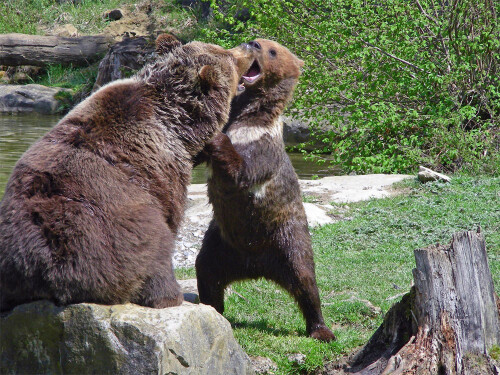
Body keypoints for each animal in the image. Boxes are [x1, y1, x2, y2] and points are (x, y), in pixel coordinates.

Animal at [0, 35, 258, 312]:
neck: (179, 124)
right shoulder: (164, 168)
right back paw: (172, 295)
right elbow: (171, 212)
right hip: (111, 241)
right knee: (155, 253)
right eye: (229, 55)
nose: (249, 45)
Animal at [195, 39, 336, 344]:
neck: (250, 116)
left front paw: (218, 138)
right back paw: (213, 309)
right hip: (222, 242)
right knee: (208, 271)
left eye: (272, 50)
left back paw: (321, 329)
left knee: (305, 279)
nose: (253, 42)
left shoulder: (263, 146)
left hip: (286, 236)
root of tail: (256, 267)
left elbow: (243, 171)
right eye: (259, 41)